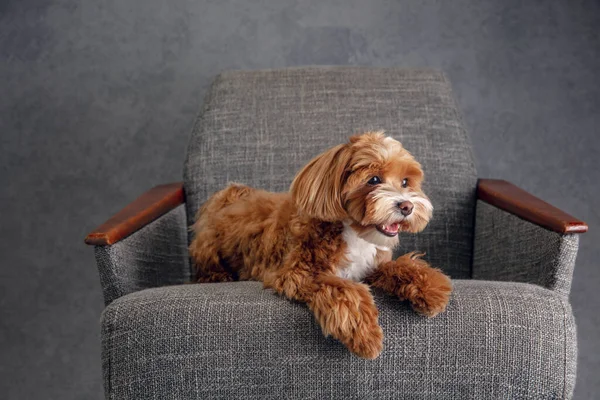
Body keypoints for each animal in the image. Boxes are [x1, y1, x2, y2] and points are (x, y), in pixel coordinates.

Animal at [190, 131, 452, 360]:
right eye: (374, 179)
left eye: (406, 182)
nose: (407, 206)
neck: (353, 232)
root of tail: (228, 200)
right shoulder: (299, 274)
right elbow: (344, 288)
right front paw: (364, 333)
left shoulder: (370, 268)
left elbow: (399, 267)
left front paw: (430, 287)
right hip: (208, 251)